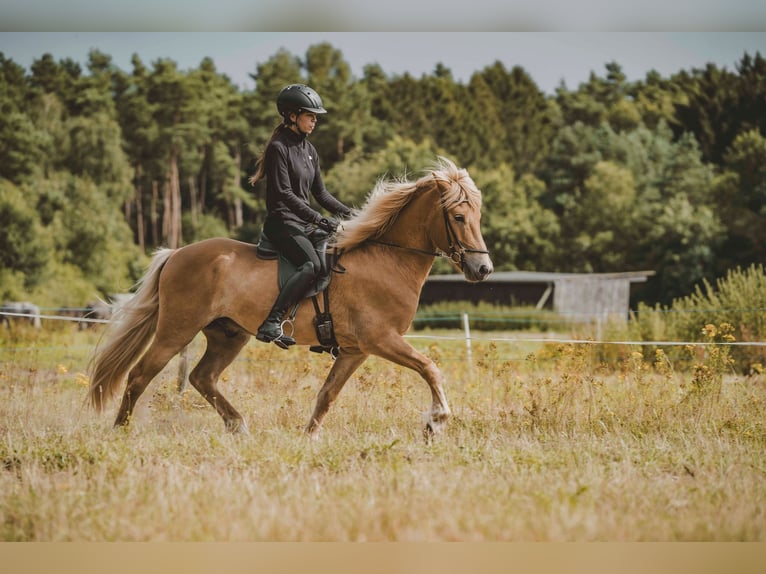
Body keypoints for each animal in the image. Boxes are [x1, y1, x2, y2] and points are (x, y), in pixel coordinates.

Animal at [87, 155, 496, 438]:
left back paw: (238, 426)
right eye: (458, 217)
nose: (483, 269)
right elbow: (430, 367)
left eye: (477, 215)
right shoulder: (381, 339)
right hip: (177, 329)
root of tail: (176, 254)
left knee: (203, 377)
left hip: (228, 334)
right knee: (139, 375)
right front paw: (436, 421)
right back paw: (120, 433)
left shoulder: (355, 351)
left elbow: (326, 395)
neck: (387, 258)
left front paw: (307, 439)